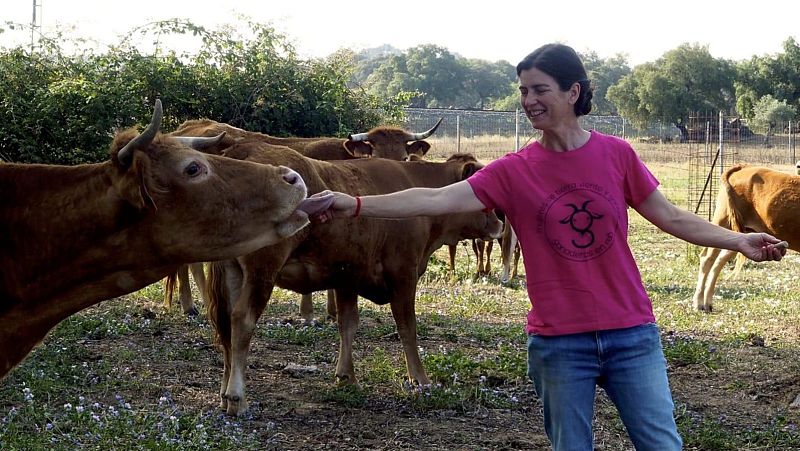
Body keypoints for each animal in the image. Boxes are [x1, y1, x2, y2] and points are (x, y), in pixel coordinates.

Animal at [204, 143, 503, 416]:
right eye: (483, 199)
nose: (500, 224)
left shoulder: (346, 276)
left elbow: (347, 324)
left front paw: (347, 377)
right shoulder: (403, 272)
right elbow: (408, 327)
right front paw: (420, 378)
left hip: (234, 272)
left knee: (227, 325)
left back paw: (223, 393)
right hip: (262, 271)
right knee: (242, 320)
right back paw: (237, 396)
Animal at [691, 164, 797, 312]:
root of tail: (744, 166)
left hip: (740, 233)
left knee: (719, 260)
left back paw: (708, 303)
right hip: (723, 221)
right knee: (707, 258)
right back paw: (699, 302)